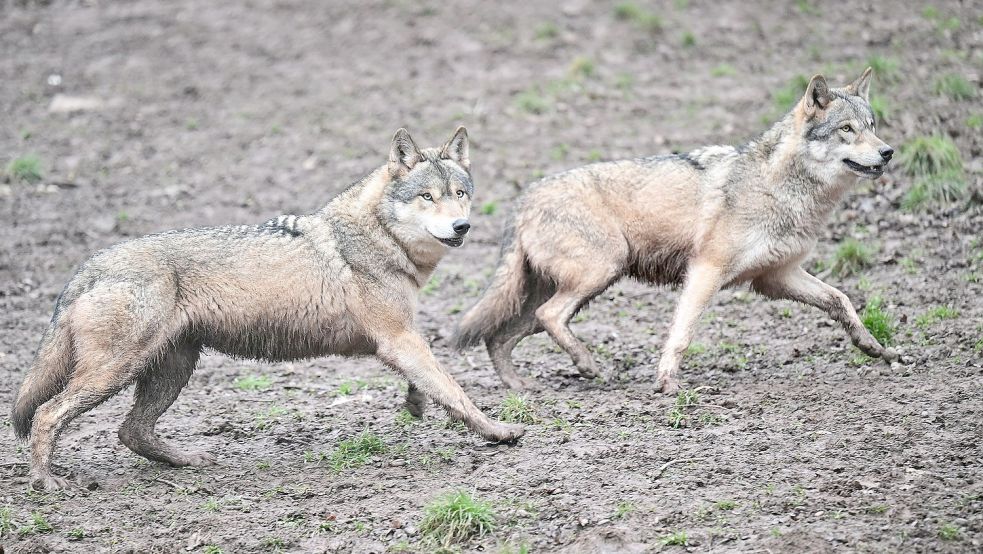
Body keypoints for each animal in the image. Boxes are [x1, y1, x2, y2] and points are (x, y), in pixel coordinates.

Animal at [13, 125, 524, 488]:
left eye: (460, 194)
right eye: (427, 197)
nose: (461, 227)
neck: (379, 237)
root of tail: (88, 266)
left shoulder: (402, 340)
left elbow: (431, 385)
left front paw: (417, 406)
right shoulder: (399, 338)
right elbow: (456, 390)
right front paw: (497, 430)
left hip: (170, 370)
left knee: (130, 431)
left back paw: (188, 460)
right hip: (116, 372)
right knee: (48, 414)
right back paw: (47, 482)